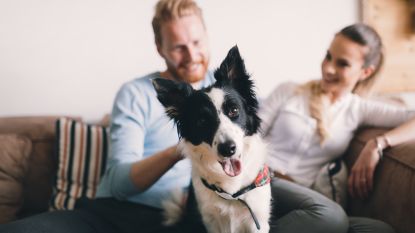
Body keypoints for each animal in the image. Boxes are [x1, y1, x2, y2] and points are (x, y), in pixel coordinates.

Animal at [153, 46, 272, 233]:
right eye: (202, 121)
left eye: (234, 110)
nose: (228, 148)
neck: (232, 193)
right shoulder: (210, 220)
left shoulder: (257, 221)